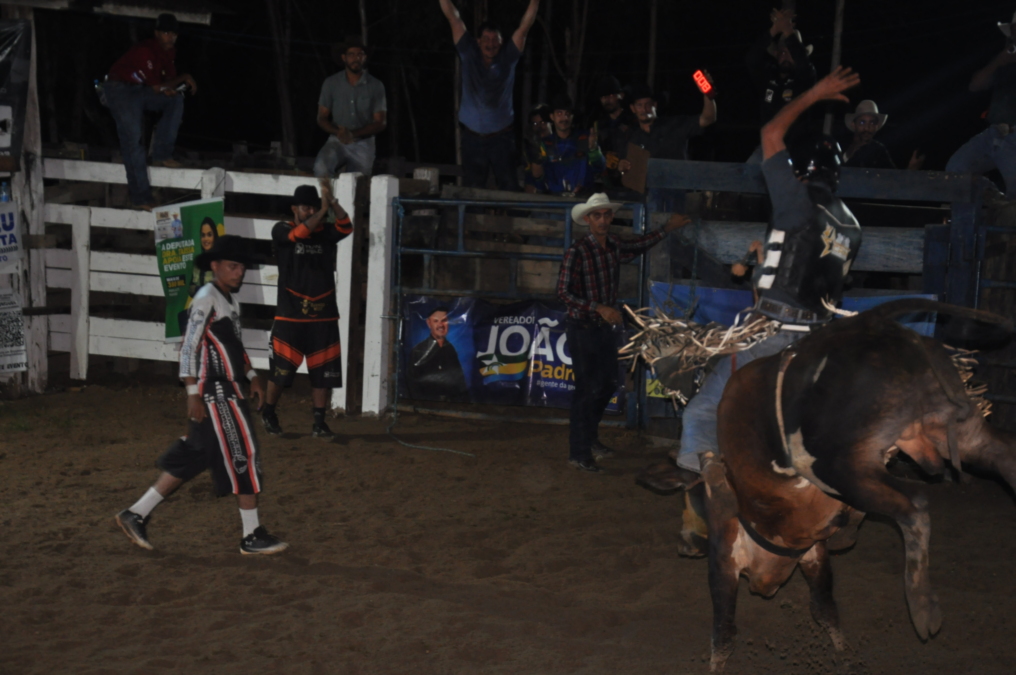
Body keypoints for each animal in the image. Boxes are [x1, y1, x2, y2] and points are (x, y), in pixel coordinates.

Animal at [646, 299, 1016, 672]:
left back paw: (923, 607)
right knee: (1004, 455)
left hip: (839, 466)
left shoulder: (724, 553)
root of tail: (873, 323)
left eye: (685, 498)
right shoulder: (814, 552)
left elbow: (723, 630)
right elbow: (825, 609)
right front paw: (844, 655)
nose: (684, 544)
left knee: (915, 505)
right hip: (958, 428)